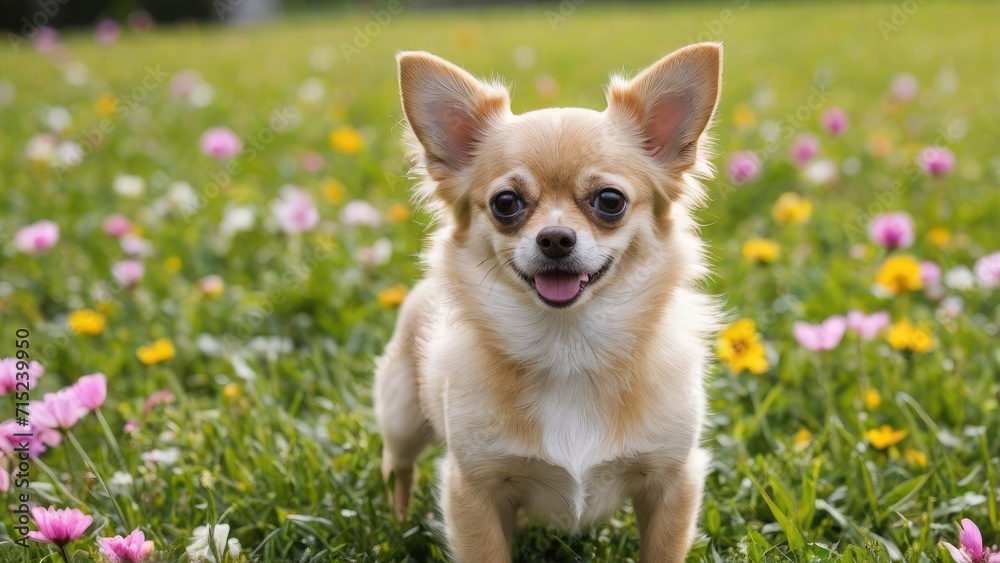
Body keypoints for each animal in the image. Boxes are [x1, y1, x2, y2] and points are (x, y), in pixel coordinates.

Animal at [374, 43, 720, 563]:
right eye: (506, 203)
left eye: (610, 201)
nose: (555, 238)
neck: (568, 349)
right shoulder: (474, 490)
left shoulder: (672, 480)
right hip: (402, 417)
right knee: (397, 466)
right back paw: (395, 526)